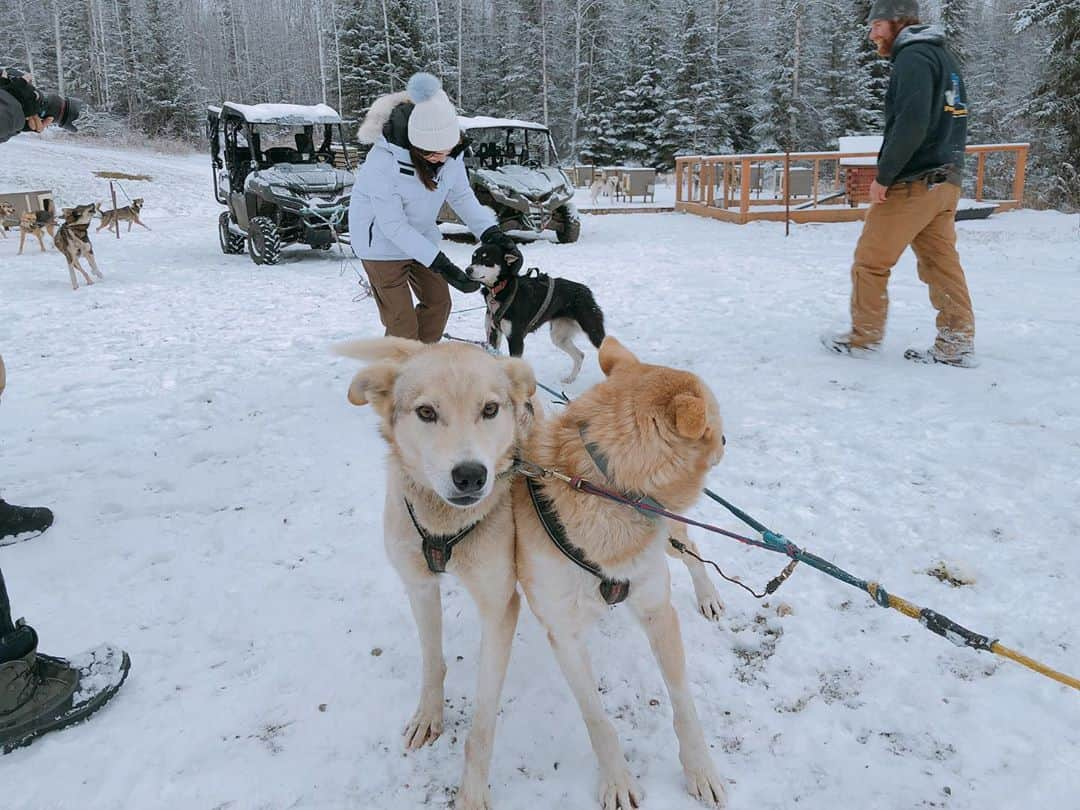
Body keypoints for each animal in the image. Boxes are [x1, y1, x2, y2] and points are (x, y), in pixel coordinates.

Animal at [511, 336, 725, 810]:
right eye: (716, 422)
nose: (726, 440)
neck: (600, 484)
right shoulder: (564, 635)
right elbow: (597, 719)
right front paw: (617, 779)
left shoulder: (657, 610)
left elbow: (683, 704)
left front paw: (700, 768)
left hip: (670, 539)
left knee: (694, 552)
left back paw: (709, 596)